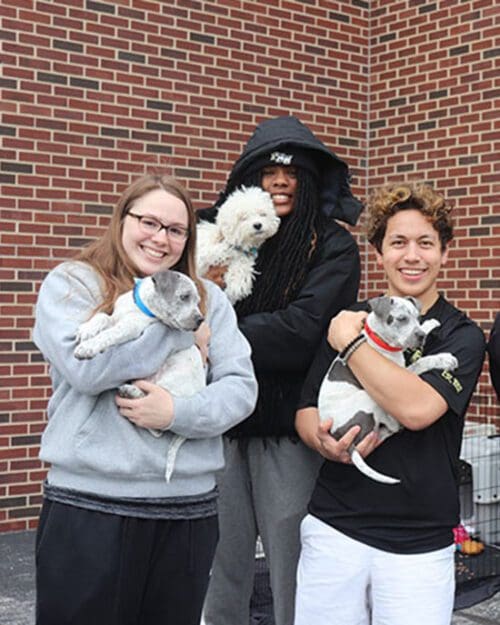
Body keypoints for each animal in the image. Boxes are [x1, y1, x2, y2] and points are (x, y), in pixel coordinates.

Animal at [73, 270, 205, 482]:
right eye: (184, 297)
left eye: (198, 301)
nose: (201, 320)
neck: (139, 307)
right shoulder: (116, 318)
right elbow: (103, 316)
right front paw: (87, 329)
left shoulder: (130, 327)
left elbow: (109, 334)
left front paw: (88, 347)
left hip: (169, 387)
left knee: (159, 426)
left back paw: (131, 392)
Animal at [318, 294, 458, 486]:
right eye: (401, 319)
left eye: (418, 317)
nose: (421, 336)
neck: (379, 339)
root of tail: (338, 436)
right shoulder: (402, 375)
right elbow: (422, 362)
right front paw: (444, 359)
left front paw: (429, 324)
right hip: (368, 396)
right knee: (389, 424)